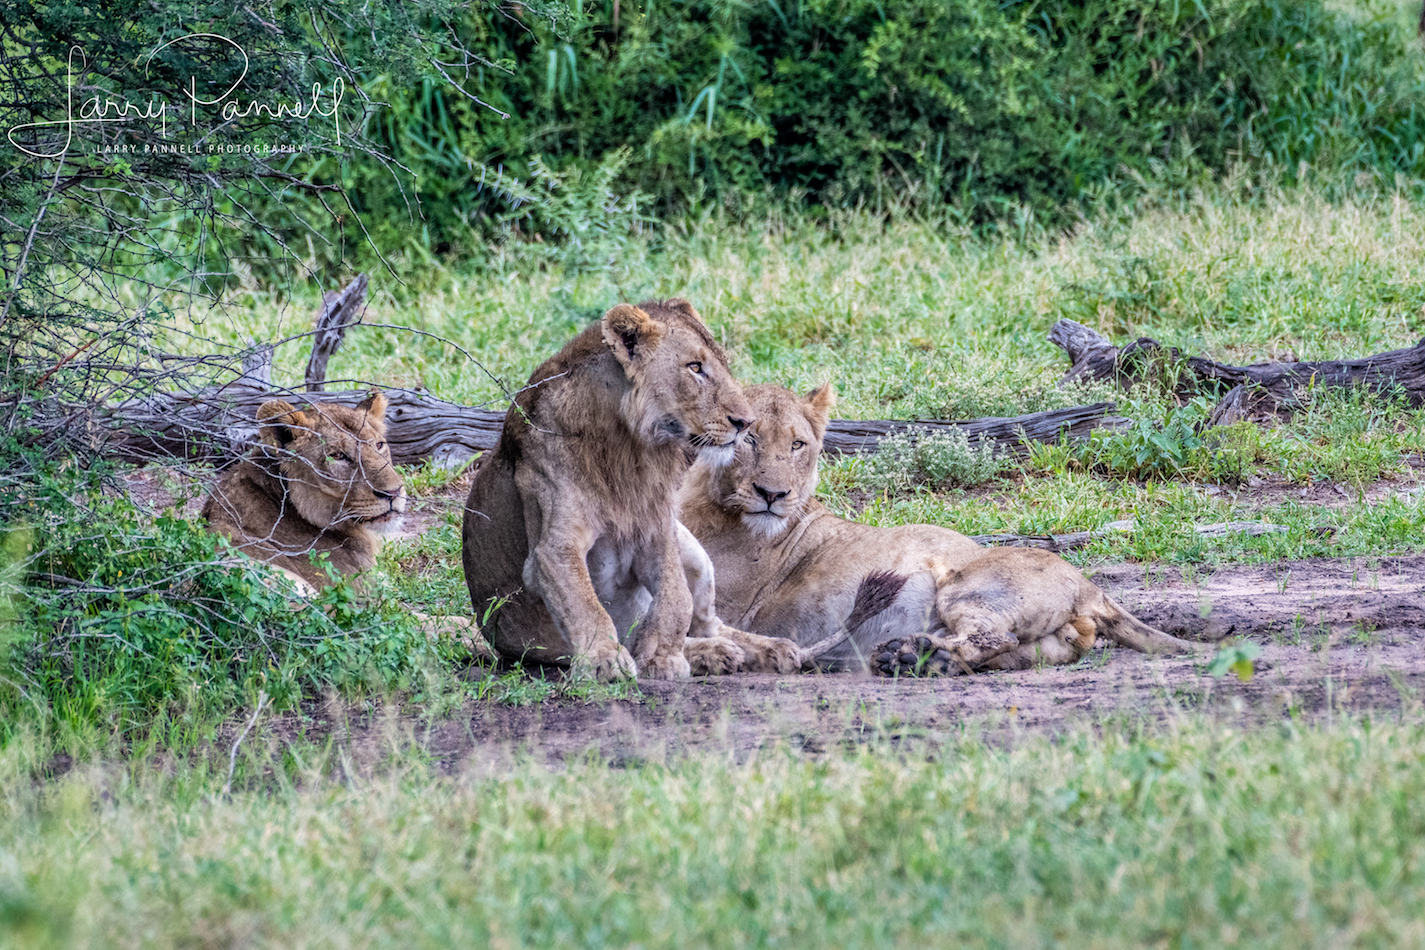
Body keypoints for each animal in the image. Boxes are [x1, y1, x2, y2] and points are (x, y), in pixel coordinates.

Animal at [461, 299, 781, 682]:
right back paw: (713, 654)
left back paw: (767, 650)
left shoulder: (658, 530)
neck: (628, 447)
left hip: (695, 550)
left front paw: (661, 656)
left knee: (708, 622)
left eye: (725, 366)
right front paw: (605, 661)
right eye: (695, 367)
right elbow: (585, 605)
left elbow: (676, 598)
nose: (746, 423)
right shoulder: (552, 548)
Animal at [678, 383, 1204, 674]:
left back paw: (909, 654)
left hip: (965, 586)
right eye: (748, 439)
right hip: (1046, 644)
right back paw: (919, 658)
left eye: (797, 445)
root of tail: (1089, 586)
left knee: (993, 637)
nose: (774, 494)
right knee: (1004, 653)